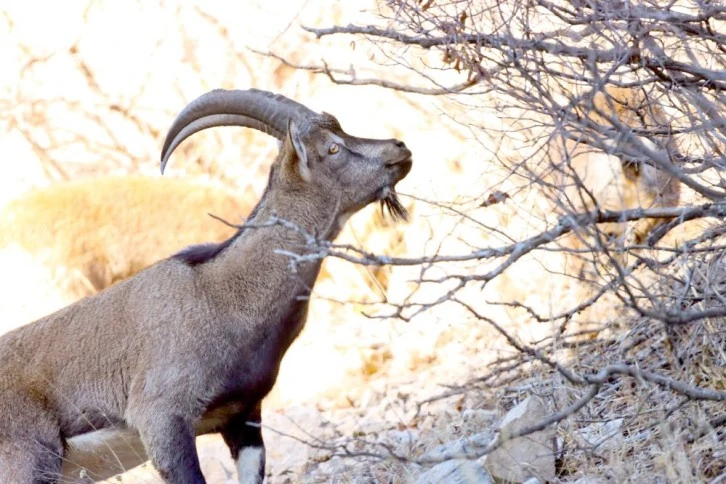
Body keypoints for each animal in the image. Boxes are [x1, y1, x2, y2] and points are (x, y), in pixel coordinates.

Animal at [0, 89, 412, 482]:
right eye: (332, 148)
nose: (401, 149)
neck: (222, 295)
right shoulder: (162, 419)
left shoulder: (243, 419)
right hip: (29, 463)